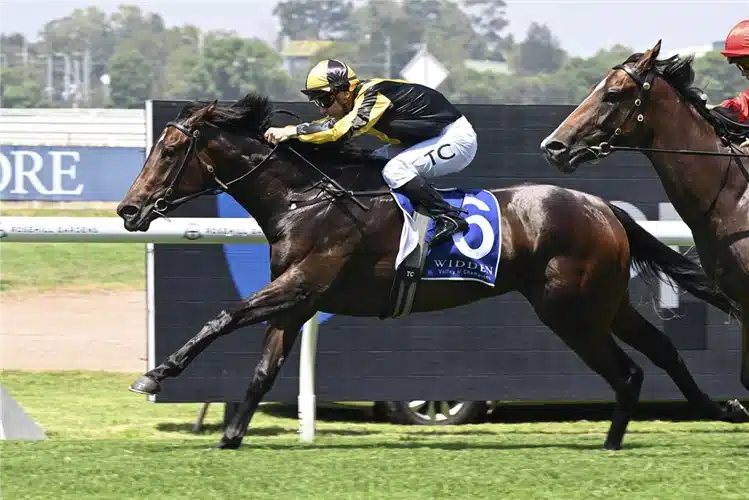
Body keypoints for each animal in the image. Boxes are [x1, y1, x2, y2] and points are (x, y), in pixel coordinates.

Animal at [116, 91, 748, 451]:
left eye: (168, 152)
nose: (128, 210)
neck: (308, 198)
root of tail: (602, 207)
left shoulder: (300, 284)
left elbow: (224, 315)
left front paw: (155, 375)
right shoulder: (297, 301)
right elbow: (261, 373)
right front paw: (229, 439)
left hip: (571, 311)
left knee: (627, 370)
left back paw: (620, 442)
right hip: (602, 303)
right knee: (656, 354)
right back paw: (709, 410)